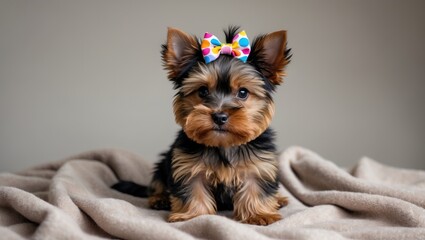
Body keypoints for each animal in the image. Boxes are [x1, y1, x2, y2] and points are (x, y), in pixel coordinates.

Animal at [112, 27, 292, 226]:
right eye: (203, 91)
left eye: (243, 92)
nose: (219, 116)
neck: (224, 145)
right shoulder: (187, 166)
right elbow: (193, 189)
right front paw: (193, 215)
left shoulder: (259, 165)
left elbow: (256, 187)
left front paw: (259, 214)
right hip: (163, 164)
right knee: (157, 183)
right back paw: (160, 198)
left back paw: (279, 200)